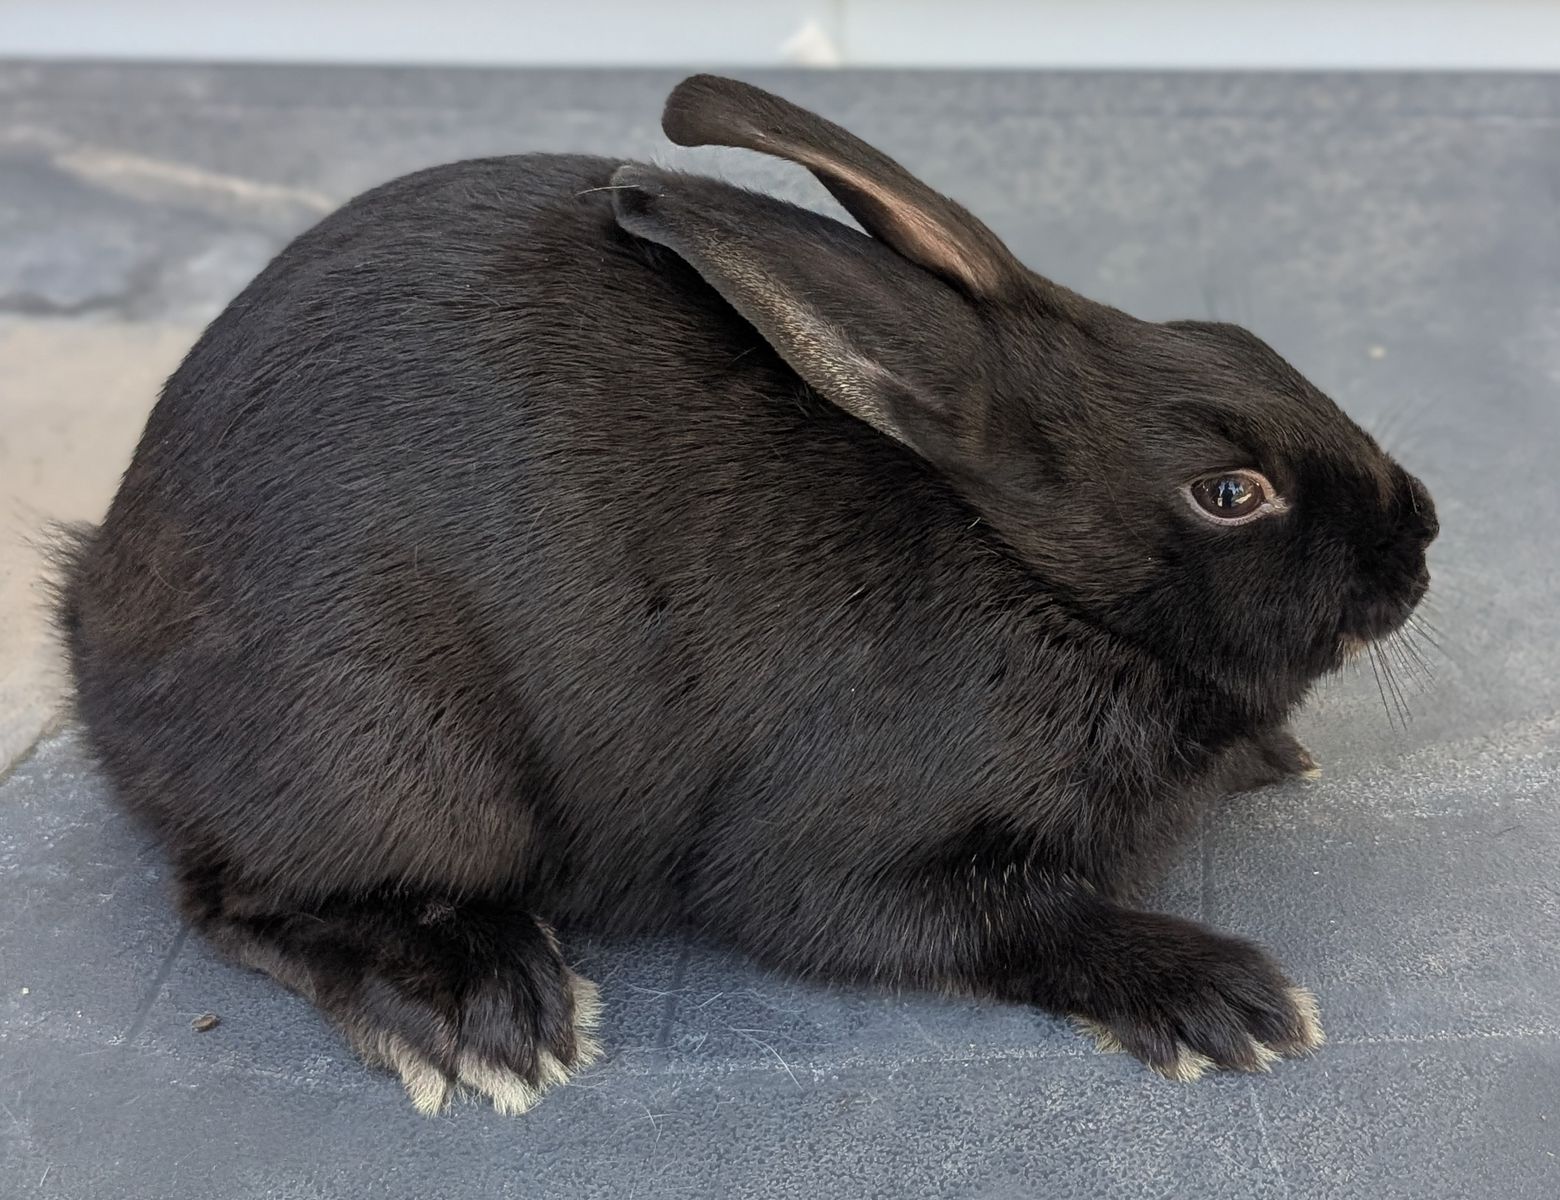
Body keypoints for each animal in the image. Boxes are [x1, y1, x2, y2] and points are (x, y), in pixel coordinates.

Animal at [52, 74, 1438, 1115]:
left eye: (1245, 342)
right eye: (1229, 492)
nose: (1420, 542)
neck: (1042, 581)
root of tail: (92, 625)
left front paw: (1277, 759)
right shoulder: (844, 855)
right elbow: (986, 923)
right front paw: (1227, 1001)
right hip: (391, 756)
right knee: (241, 897)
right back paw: (481, 1012)